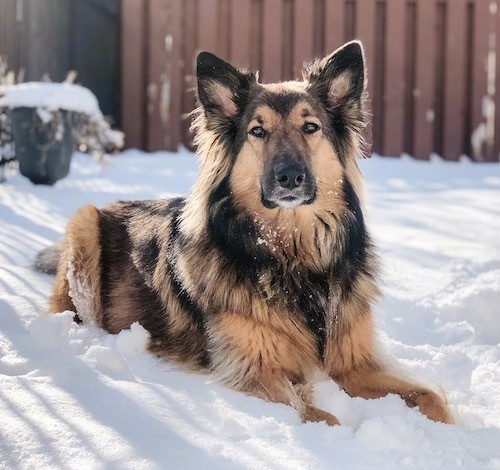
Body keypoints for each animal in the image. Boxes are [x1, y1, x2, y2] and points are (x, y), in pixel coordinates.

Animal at [37, 41, 454, 426]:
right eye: (258, 131)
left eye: (311, 127)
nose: (290, 176)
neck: (292, 256)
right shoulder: (256, 370)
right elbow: (320, 417)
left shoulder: (354, 362)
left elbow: (431, 396)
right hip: (84, 222)